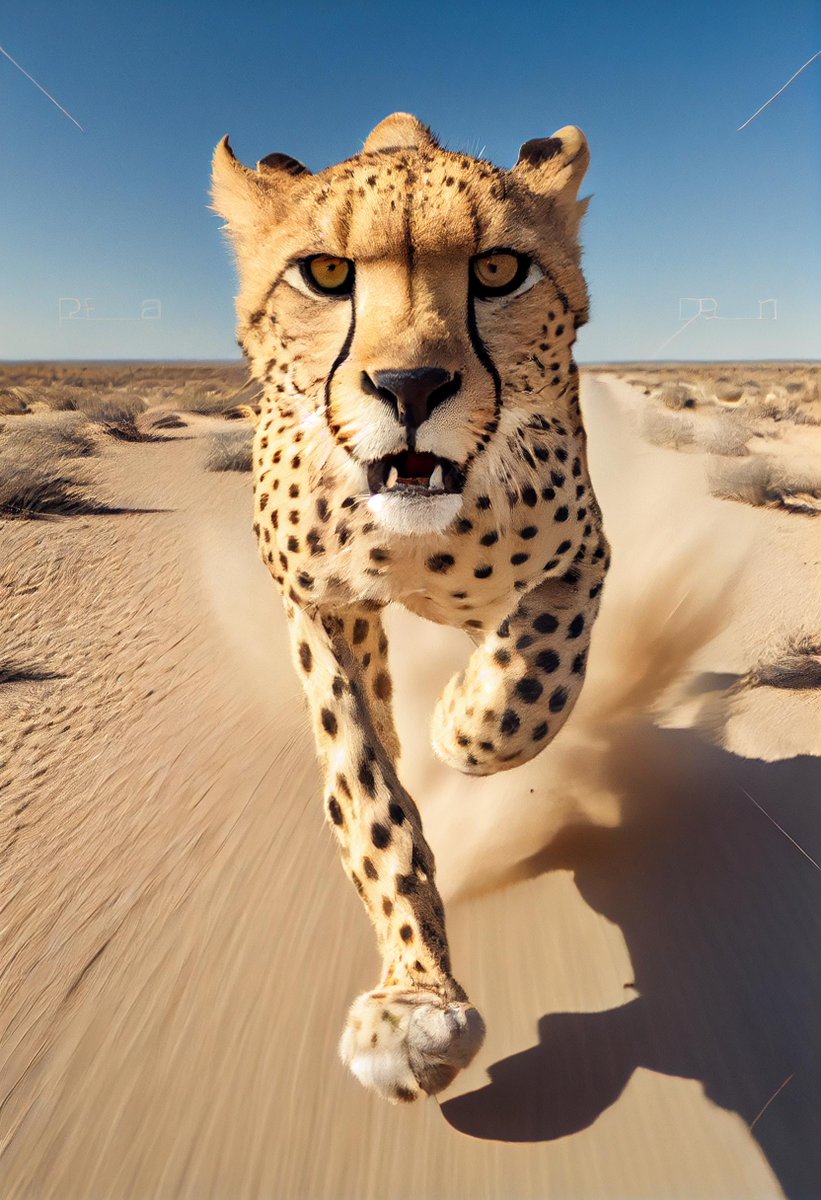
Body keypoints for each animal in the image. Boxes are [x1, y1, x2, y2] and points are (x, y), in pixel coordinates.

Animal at [211, 112, 610, 1105]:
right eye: (324, 273)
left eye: (498, 270)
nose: (411, 388)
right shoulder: (315, 606)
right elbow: (364, 789)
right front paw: (417, 999)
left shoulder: (582, 558)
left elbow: (528, 683)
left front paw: (462, 719)